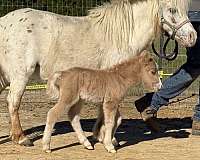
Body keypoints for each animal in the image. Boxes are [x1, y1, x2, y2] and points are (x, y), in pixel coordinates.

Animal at [0, 0, 197, 146]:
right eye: (172, 9)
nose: (192, 37)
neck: (122, 36)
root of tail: (4, 22)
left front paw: (99, 136)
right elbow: (110, 114)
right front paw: (109, 138)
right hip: (21, 75)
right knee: (13, 102)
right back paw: (21, 138)